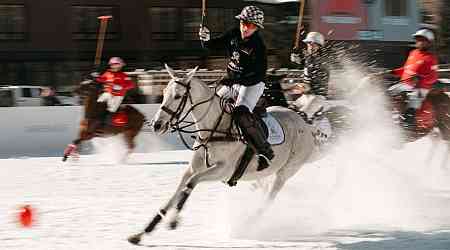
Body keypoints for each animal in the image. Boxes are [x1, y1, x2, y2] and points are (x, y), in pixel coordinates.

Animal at [128, 64, 318, 244]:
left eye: (177, 96)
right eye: (164, 93)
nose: (157, 125)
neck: (213, 129)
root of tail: (304, 122)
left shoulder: (223, 170)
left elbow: (191, 183)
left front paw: (173, 220)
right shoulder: (192, 168)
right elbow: (177, 191)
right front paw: (142, 232)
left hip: (286, 171)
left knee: (269, 198)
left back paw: (248, 224)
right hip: (267, 173)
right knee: (264, 190)